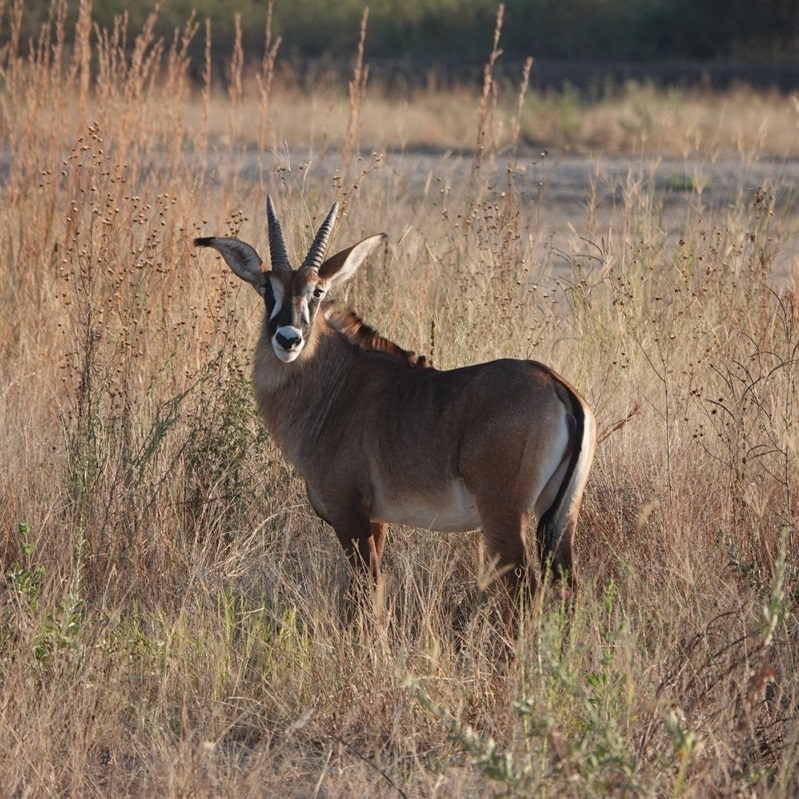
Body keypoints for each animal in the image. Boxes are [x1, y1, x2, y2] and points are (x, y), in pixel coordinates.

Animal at [194, 200, 592, 608]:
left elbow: (366, 592)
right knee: (569, 588)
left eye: (317, 291)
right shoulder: (377, 520)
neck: (337, 384)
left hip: (504, 518)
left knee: (526, 594)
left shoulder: (349, 513)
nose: (288, 339)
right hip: (562, 517)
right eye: (266, 288)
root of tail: (560, 388)